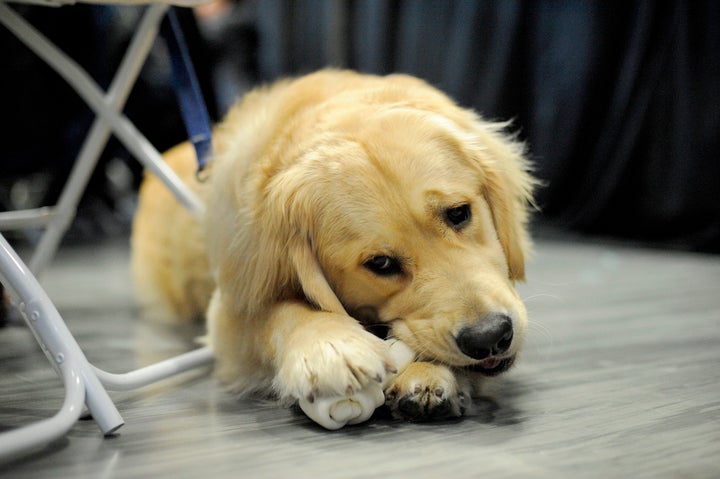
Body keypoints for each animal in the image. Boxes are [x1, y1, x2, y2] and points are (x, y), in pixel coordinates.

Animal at [131, 69, 536, 422]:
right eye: (380, 264)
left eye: (458, 213)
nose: (490, 337)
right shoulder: (231, 313)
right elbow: (277, 313)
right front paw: (329, 347)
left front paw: (429, 374)